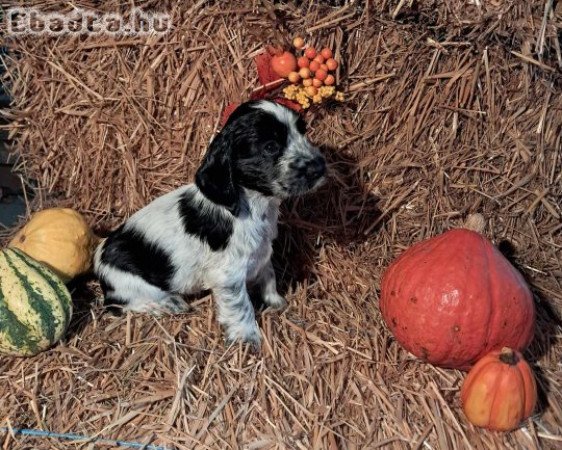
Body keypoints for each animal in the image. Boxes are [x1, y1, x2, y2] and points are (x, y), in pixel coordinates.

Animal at [94, 100, 326, 346]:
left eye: (302, 132)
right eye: (271, 147)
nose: (319, 167)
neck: (253, 205)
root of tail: (100, 252)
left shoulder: (261, 252)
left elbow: (268, 276)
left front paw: (276, 302)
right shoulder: (228, 277)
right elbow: (241, 307)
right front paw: (248, 340)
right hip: (127, 284)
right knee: (119, 304)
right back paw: (169, 303)